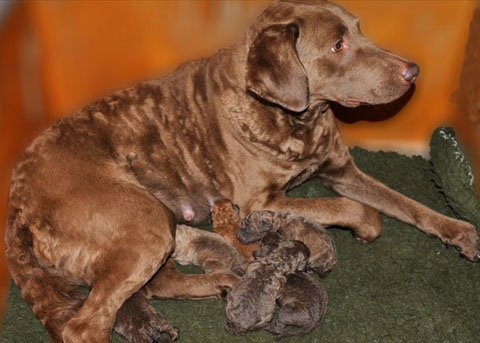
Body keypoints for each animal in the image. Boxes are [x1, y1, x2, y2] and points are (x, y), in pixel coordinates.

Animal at [4, 0, 480, 343]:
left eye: (360, 29)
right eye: (337, 46)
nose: (413, 70)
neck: (293, 119)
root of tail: (17, 202)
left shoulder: (342, 170)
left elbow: (408, 204)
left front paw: (460, 230)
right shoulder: (261, 202)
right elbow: (359, 211)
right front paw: (365, 229)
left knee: (158, 285)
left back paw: (225, 281)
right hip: (145, 220)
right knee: (86, 326)